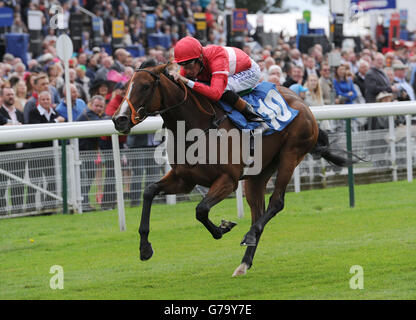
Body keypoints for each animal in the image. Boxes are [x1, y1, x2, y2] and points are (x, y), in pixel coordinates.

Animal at [112, 63, 352, 278]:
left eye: (144, 86)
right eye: (126, 87)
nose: (119, 119)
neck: (196, 126)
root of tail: (304, 104)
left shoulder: (228, 179)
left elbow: (201, 209)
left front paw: (223, 228)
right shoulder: (184, 179)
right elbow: (149, 191)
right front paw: (144, 248)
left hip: (290, 155)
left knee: (276, 202)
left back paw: (249, 235)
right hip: (257, 175)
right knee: (258, 212)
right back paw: (244, 262)